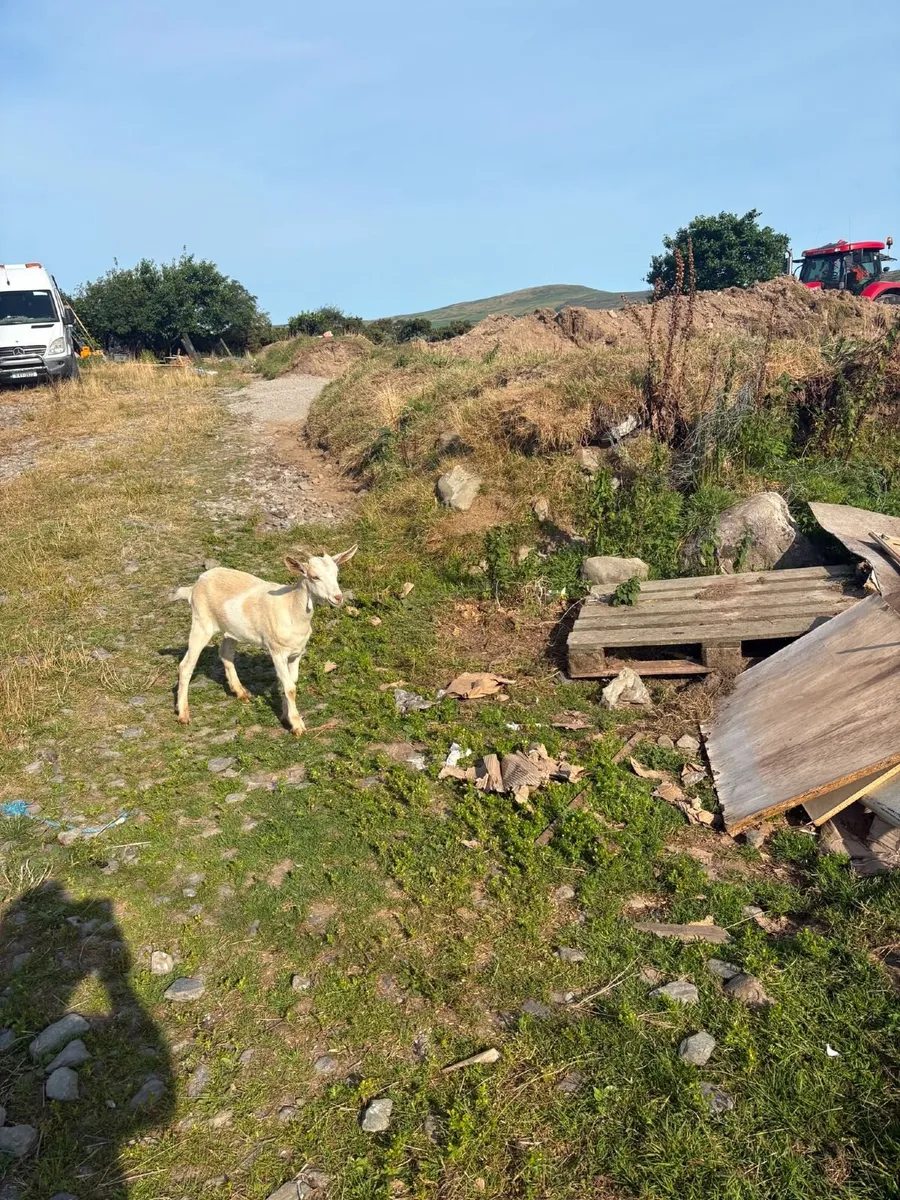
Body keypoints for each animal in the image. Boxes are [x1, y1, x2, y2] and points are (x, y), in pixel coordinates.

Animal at [173, 546, 357, 735]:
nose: (338, 597)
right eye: (314, 576)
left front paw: (285, 716)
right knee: (186, 665)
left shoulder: (296, 653)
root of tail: (195, 585)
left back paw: (241, 692)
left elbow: (290, 682)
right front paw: (297, 725)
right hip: (201, 624)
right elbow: (290, 687)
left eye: (336, 572)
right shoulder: (277, 651)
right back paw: (183, 715)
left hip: (231, 630)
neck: (291, 608)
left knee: (225, 653)